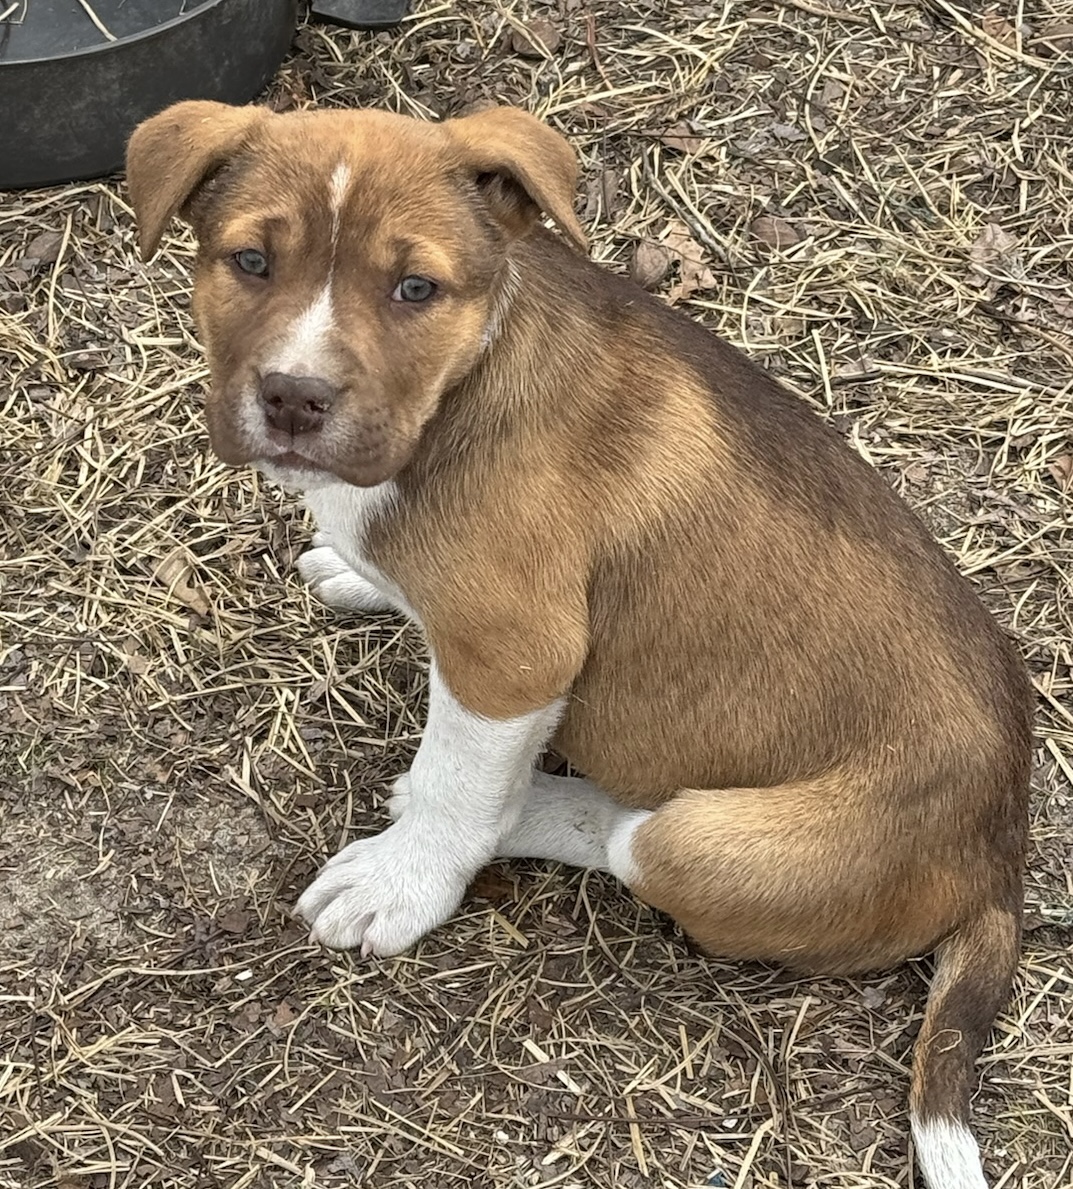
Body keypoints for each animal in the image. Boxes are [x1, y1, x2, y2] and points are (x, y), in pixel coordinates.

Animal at [127, 102, 1042, 1189]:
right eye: (251, 261)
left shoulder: (513, 656)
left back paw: (526, 808)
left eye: (414, 288)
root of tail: (998, 860)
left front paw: (403, 882)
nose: (294, 398)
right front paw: (359, 572)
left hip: (712, 844)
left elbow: (458, 785)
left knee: (621, 832)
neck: (465, 377)